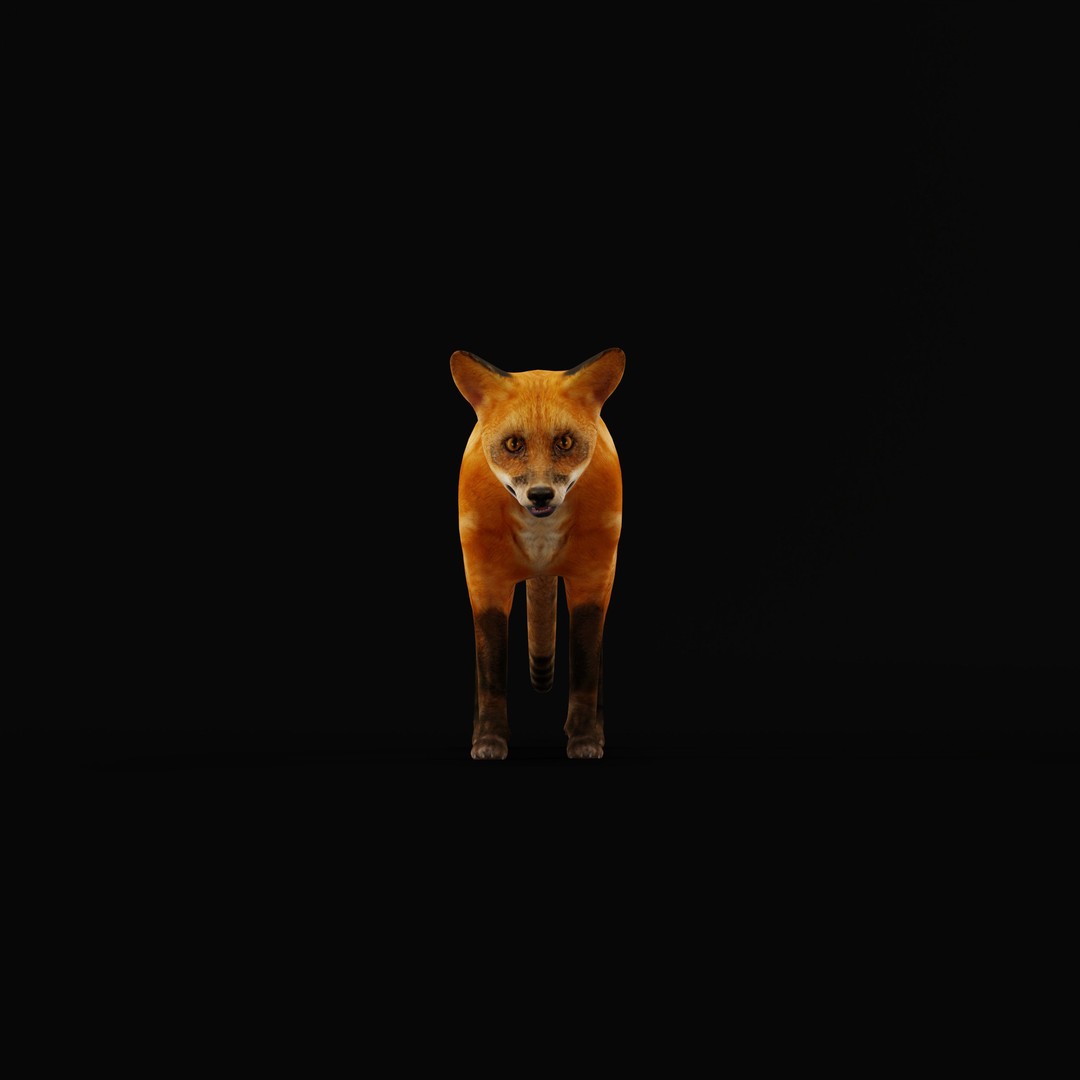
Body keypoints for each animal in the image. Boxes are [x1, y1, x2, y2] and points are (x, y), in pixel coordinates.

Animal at [450, 347, 625, 760]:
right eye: (514, 445)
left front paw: (584, 738)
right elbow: (491, 673)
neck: (541, 540)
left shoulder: (593, 578)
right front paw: (489, 739)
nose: (541, 495)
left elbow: (585, 668)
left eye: (565, 442)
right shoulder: (484, 580)